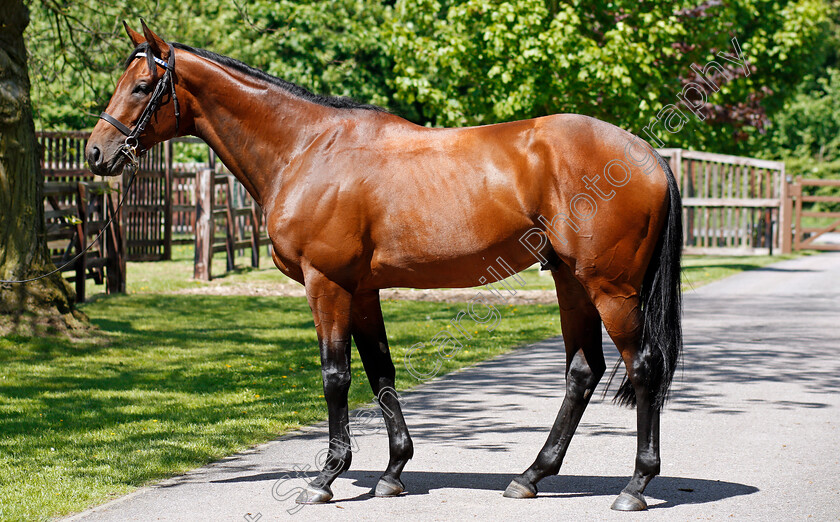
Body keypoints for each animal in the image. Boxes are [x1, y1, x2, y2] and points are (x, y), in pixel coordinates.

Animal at [87, 23, 684, 508]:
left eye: (141, 86)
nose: (96, 153)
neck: (307, 148)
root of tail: (648, 155)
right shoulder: (363, 290)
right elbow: (381, 373)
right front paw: (393, 471)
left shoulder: (326, 285)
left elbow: (335, 376)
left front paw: (326, 478)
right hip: (570, 282)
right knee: (583, 372)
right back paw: (531, 475)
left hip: (610, 289)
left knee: (644, 367)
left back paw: (635, 486)